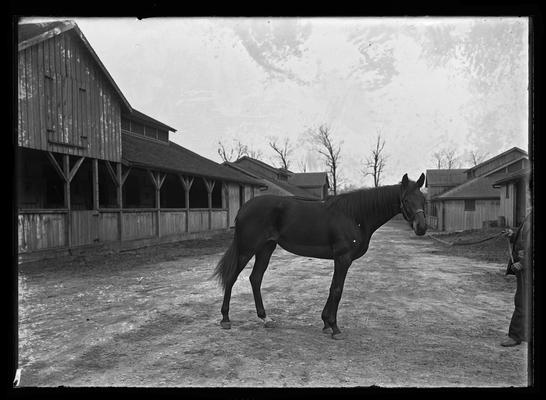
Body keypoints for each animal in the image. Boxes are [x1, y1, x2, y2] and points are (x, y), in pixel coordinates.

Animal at [212, 172, 424, 338]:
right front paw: (335, 328)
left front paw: (325, 323)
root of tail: (243, 208)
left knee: (255, 279)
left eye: (422, 198)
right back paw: (225, 319)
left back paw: (266, 318)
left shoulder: (340, 259)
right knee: (232, 278)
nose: (421, 228)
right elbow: (337, 290)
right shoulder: (343, 258)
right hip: (247, 249)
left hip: (266, 248)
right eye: (406, 200)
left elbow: (333, 288)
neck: (354, 216)